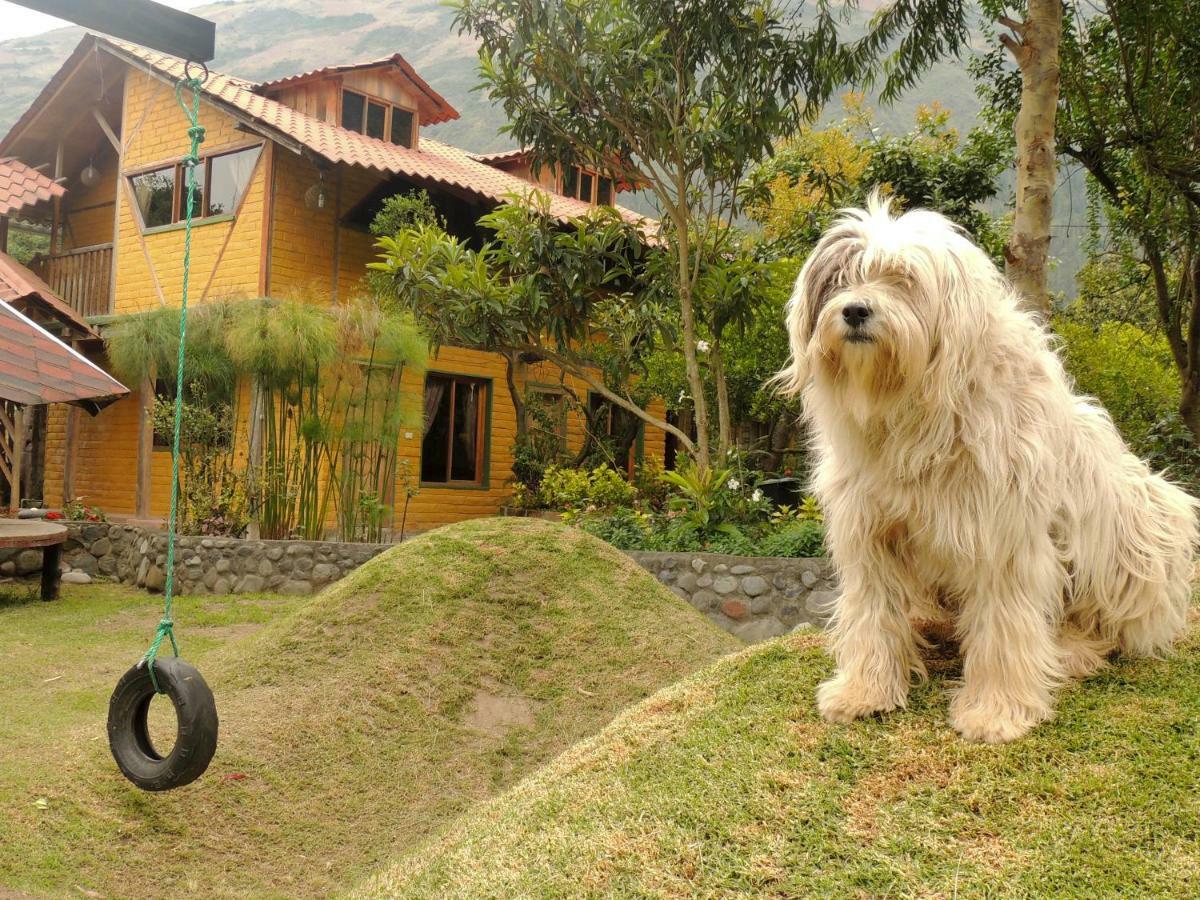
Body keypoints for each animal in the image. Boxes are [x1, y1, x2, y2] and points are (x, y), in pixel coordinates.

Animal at [772, 196, 1195, 748]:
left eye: (904, 280)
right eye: (842, 278)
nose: (855, 310)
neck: (913, 415)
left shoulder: (1001, 534)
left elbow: (1003, 625)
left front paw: (996, 711)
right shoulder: (869, 531)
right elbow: (872, 612)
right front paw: (865, 690)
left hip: (1142, 521)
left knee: (1112, 624)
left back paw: (1072, 649)